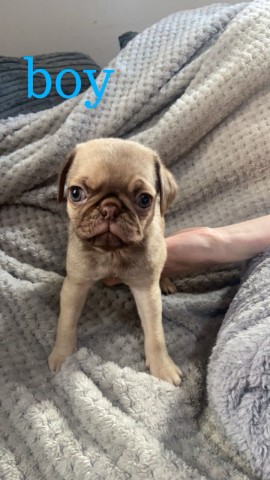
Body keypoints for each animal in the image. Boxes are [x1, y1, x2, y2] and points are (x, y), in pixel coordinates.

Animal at [48, 137, 182, 384]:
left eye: (144, 199)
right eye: (75, 193)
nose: (109, 208)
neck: (112, 252)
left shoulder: (146, 291)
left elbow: (156, 333)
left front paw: (162, 366)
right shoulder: (75, 285)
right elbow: (66, 323)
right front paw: (63, 355)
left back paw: (166, 281)